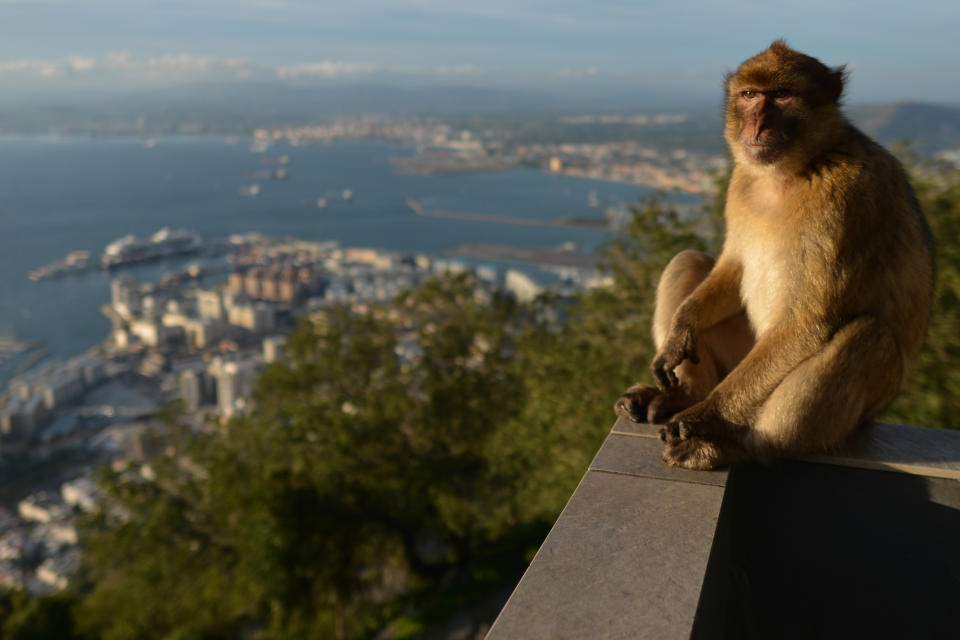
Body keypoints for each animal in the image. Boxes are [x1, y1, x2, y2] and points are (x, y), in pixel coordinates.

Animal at [616, 40, 928, 470]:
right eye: (750, 95)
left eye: (782, 95)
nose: (757, 127)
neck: (789, 173)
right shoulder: (741, 180)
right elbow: (732, 266)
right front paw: (681, 331)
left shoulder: (844, 197)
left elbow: (809, 322)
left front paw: (706, 415)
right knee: (688, 260)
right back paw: (686, 394)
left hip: (812, 403)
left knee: (866, 335)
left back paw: (737, 444)